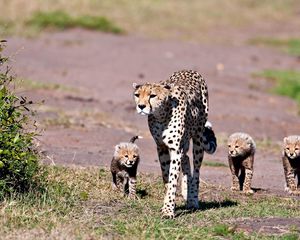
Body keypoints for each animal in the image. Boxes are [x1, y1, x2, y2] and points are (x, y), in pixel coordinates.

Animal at [132, 69, 214, 218]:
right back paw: (186, 192)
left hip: (198, 139)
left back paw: (193, 200)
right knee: (186, 158)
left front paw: (168, 210)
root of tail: (189, 69)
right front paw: (168, 203)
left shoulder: (176, 150)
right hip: (185, 142)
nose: (141, 106)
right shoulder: (161, 147)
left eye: (152, 95)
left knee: (196, 170)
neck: (161, 115)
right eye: (137, 95)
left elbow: (173, 178)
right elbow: (166, 177)